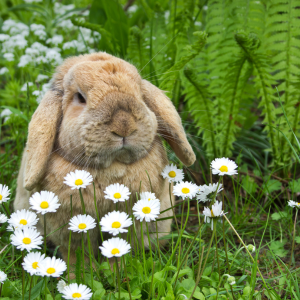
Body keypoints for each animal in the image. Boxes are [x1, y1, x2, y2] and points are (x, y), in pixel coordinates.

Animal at [14, 51, 197, 268]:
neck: (113, 168)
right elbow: (77, 254)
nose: (124, 125)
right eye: (80, 97)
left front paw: (116, 269)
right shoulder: (70, 228)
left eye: (139, 93)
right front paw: (80, 272)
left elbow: (119, 247)